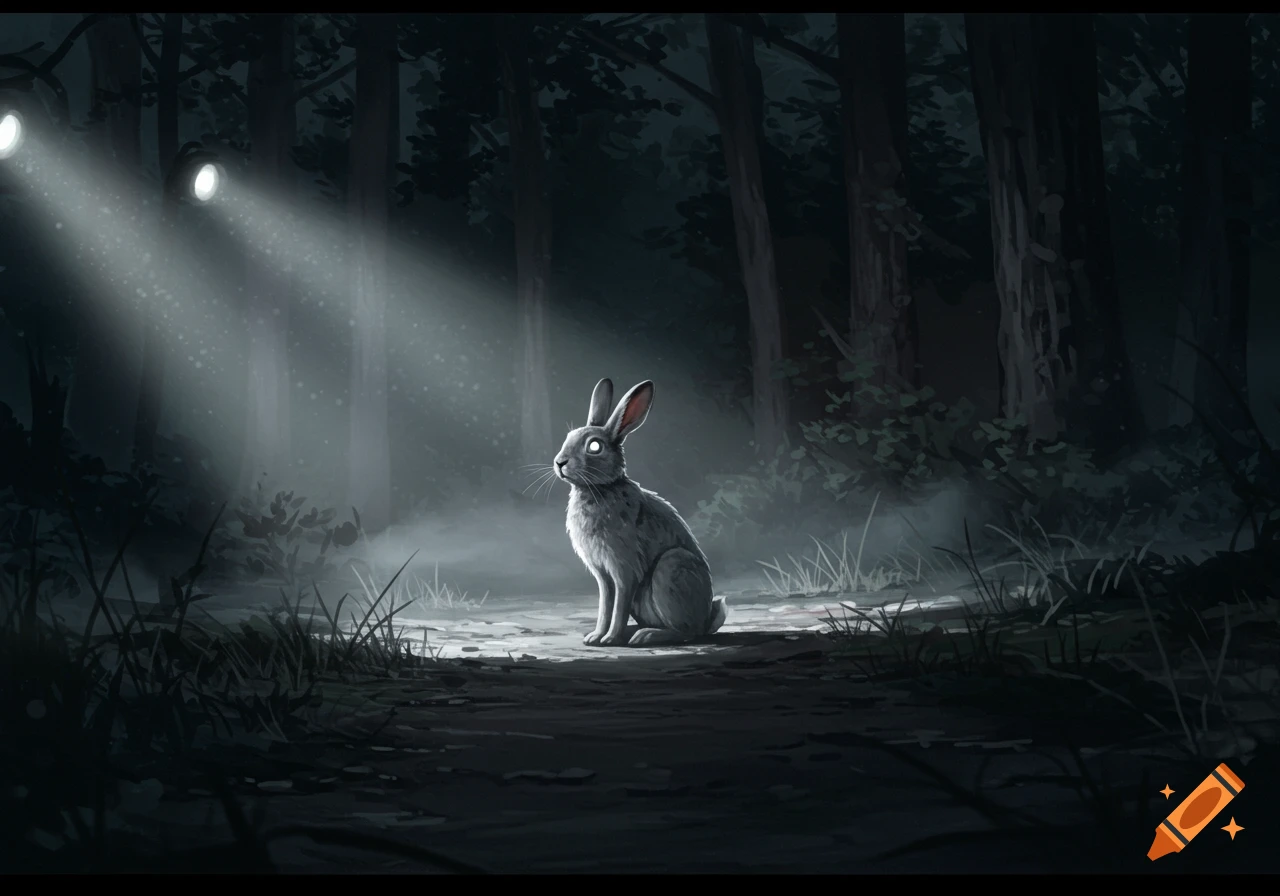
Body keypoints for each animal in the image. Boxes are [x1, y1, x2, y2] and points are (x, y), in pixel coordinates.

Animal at [554, 378, 727, 647]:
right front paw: (595, 637)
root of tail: (706, 621)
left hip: (670, 569)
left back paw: (645, 636)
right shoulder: (603, 575)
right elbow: (605, 605)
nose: (559, 462)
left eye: (594, 446)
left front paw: (609, 639)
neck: (602, 488)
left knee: (686, 632)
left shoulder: (624, 568)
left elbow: (618, 605)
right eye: (568, 437)